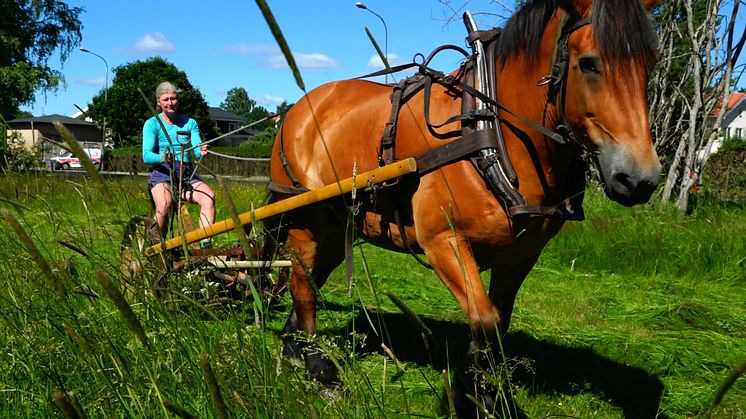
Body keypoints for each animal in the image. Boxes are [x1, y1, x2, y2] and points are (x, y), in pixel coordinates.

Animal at [266, 0, 656, 416]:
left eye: (650, 63)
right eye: (588, 63)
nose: (640, 179)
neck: (491, 132)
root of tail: (298, 108)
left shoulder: (521, 255)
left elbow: (498, 324)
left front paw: (484, 392)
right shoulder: (444, 241)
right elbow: (483, 320)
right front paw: (467, 394)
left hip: (336, 226)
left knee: (308, 280)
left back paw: (294, 346)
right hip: (305, 220)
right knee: (303, 285)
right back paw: (320, 369)